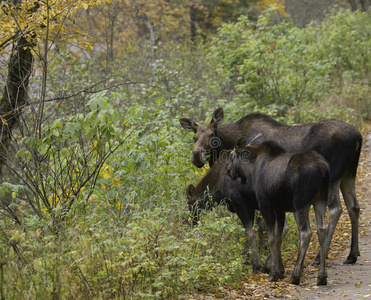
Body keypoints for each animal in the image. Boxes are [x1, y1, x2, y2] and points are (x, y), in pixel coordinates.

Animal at [180, 108, 364, 264]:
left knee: (336, 209)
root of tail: (358, 137)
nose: (196, 156)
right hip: (349, 174)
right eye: (194, 137)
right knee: (353, 206)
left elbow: (260, 226)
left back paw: (320, 256)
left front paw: (261, 256)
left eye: (212, 135)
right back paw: (352, 254)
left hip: (333, 177)